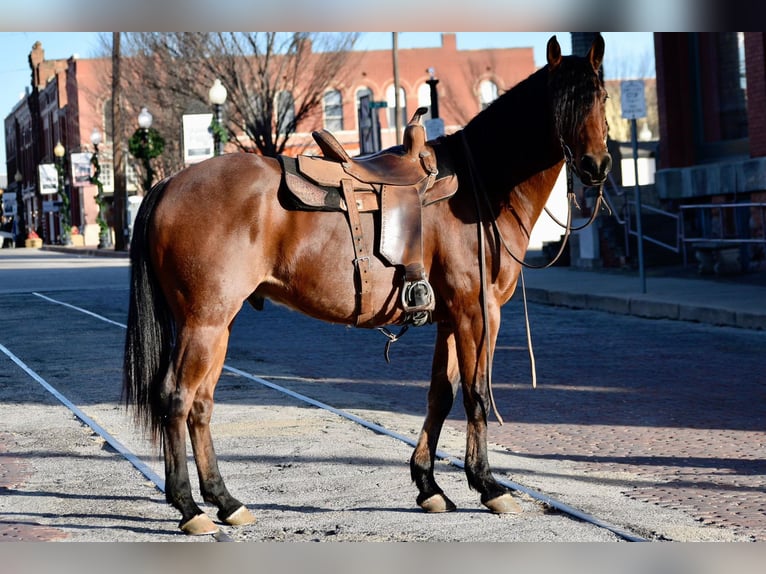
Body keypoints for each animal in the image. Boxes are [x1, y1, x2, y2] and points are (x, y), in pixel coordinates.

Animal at [124, 33, 612, 536]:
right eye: (560, 103)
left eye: (600, 97)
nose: (595, 165)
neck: (480, 188)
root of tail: (168, 183)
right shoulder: (478, 312)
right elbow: (477, 394)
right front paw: (488, 486)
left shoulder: (448, 318)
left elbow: (441, 394)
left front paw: (429, 486)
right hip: (203, 322)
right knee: (176, 399)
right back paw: (189, 508)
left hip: (221, 324)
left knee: (201, 405)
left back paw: (225, 501)